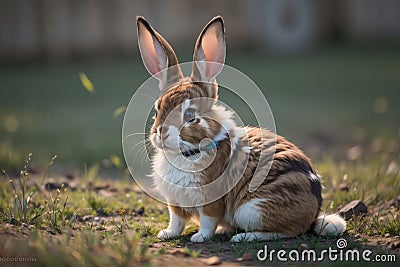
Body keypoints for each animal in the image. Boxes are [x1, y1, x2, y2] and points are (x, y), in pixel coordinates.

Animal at [136, 15, 346, 245]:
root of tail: (313, 215)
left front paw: (200, 238)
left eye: (190, 115)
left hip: (252, 209)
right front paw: (167, 234)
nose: (160, 133)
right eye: (157, 109)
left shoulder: (211, 201)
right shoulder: (174, 203)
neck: (187, 153)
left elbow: (208, 220)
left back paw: (242, 237)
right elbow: (176, 220)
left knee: (287, 231)